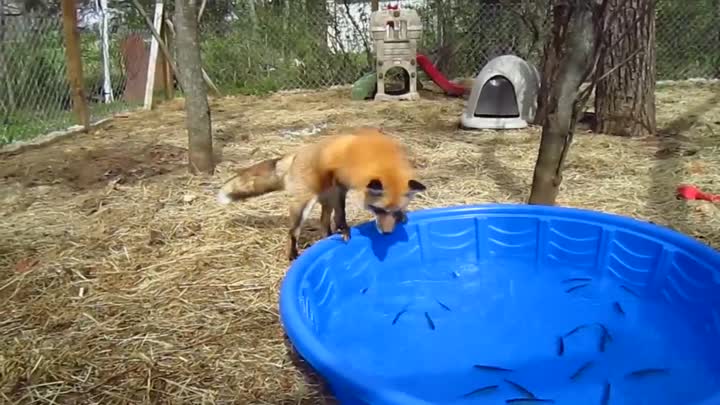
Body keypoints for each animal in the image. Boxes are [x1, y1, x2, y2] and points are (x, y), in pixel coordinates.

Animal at [216, 127, 426, 261]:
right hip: (304, 205)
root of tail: (295, 154)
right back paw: (293, 254)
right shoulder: (340, 185)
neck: (378, 156)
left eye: (394, 211)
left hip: (325, 201)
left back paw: (328, 237)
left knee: (323, 223)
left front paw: (403, 217)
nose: (387, 233)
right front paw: (345, 229)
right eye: (378, 210)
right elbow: (342, 214)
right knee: (293, 232)